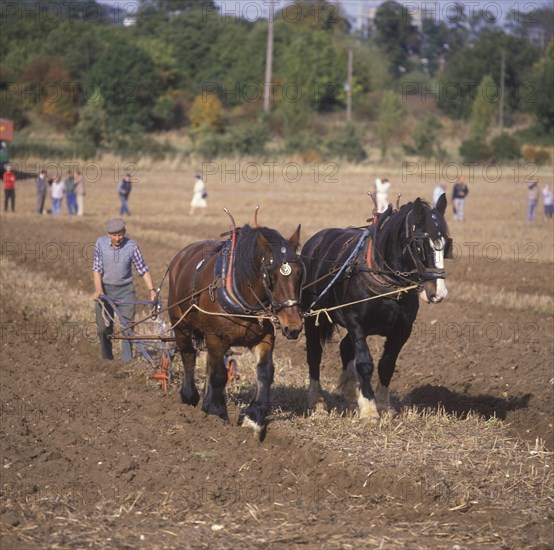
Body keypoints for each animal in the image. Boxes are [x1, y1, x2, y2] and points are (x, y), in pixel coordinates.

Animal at [168, 221, 304, 436]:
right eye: (271, 275)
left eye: (299, 273)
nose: (294, 326)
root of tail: (181, 256)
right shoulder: (216, 337)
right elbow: (219, 375)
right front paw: (217, 413)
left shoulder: (264, 338)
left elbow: (265, 371)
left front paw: (253, 417)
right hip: (180, 323)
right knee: (188, 355)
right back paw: (190, 396)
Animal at [300, 196, 450, 420]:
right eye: (420, 246)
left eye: (447, 245)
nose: (438, 292)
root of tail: (315, 241)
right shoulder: (355, 322)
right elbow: (365, 362)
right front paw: (369, 409)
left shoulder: (402, 329)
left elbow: (386, 365)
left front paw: (381, 404)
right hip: (312, 316)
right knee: (315, 353)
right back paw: (317, 400)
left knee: (345, 347)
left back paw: (351, 394)